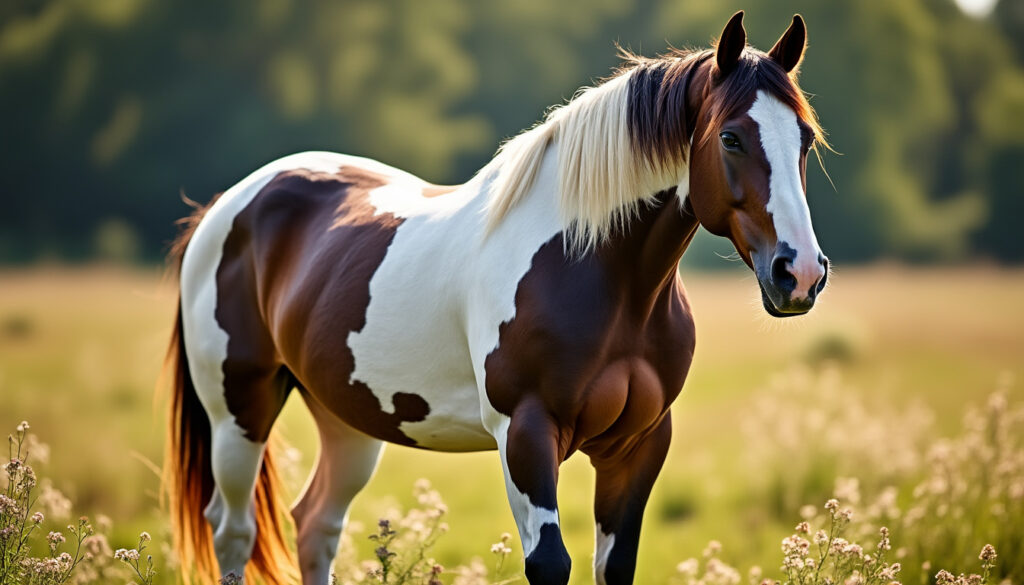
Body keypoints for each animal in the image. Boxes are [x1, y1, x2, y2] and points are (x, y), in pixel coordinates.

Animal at [164, 11, 829, 585]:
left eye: (804, 141)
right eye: (732, 139)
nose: (798, 274)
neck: (597, 274)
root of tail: (229, 204)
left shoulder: (638, 444)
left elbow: (614, 566)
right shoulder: (525, 431)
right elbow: (550, 564)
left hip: (346, 416)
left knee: (316, 525)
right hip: (239, 411)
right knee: (234, 531)